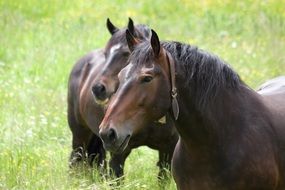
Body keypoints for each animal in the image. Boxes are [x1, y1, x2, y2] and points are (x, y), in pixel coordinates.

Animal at [67, 18, 178, 179]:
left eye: (126, 53)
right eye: (105, 54)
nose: (97, 88)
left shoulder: (168, 151)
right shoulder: (118, 153)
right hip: (79, 137)